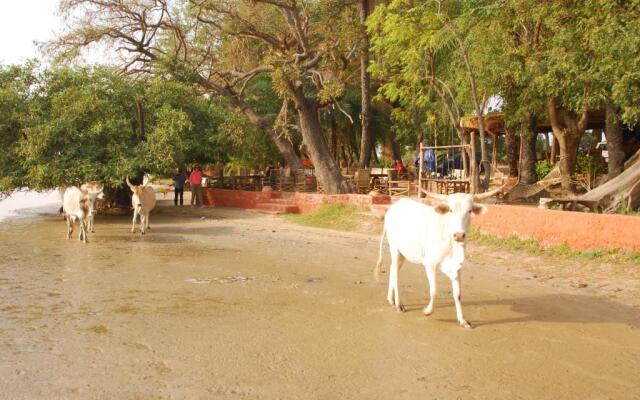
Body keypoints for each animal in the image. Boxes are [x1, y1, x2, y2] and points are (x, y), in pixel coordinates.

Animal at [372, 188, 502, 328]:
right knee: (395, 273)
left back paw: (390, 299)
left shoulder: (456, 267)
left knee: (392, 269)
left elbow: (458, 294)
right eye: (451, 210)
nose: (459, 235)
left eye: (469, 211)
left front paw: (462, 320)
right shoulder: (429, 263)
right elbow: (434, 290)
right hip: (394, 248)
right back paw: (398, 304)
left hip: (403, 253)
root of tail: (394, 207)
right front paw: (428, 311)